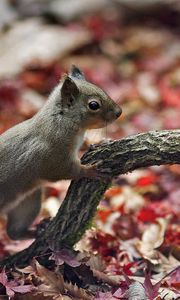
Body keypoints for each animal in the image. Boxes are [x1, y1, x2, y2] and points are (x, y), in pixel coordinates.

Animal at [0, 65, 122, 239]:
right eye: (93, 105)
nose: (119, 112)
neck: (61, 120)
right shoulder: (52, 157)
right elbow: (65, 170)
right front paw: (90, 170)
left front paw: (100, 142)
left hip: (28, 202)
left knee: (14, 232)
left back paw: (38, 229)